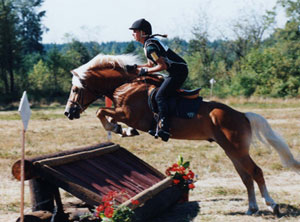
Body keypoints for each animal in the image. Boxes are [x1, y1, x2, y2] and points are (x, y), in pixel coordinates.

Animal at [65, 53, 300, 215]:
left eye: (76, 90)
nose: (69, 112)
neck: (126, 85)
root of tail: (242, 115)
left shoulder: (130, 115)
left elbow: (101, 111)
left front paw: (117, 129)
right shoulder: (123, 113)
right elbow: (107, 114)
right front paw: (122, 131)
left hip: (237, 150)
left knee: (256, 172)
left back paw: (271, 205)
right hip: (232, 151)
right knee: (246, 176)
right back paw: (251, 208)